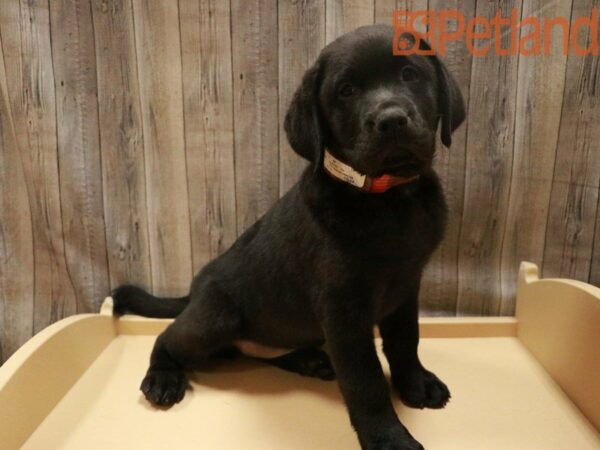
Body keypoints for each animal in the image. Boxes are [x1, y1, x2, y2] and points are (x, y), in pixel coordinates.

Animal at [115, 24, 466, 450]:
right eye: (346, 90)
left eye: (410, 74)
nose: (391, 120)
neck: (388, 198)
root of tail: (195, 287)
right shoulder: (342, 310)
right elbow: (364, 380)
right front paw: (389, 438)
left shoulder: (405, 286)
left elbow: (405, 342)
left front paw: (415, 385)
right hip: (216, 317)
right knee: (170, 336)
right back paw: (162, 376)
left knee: (256, 348)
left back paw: (307, 359)